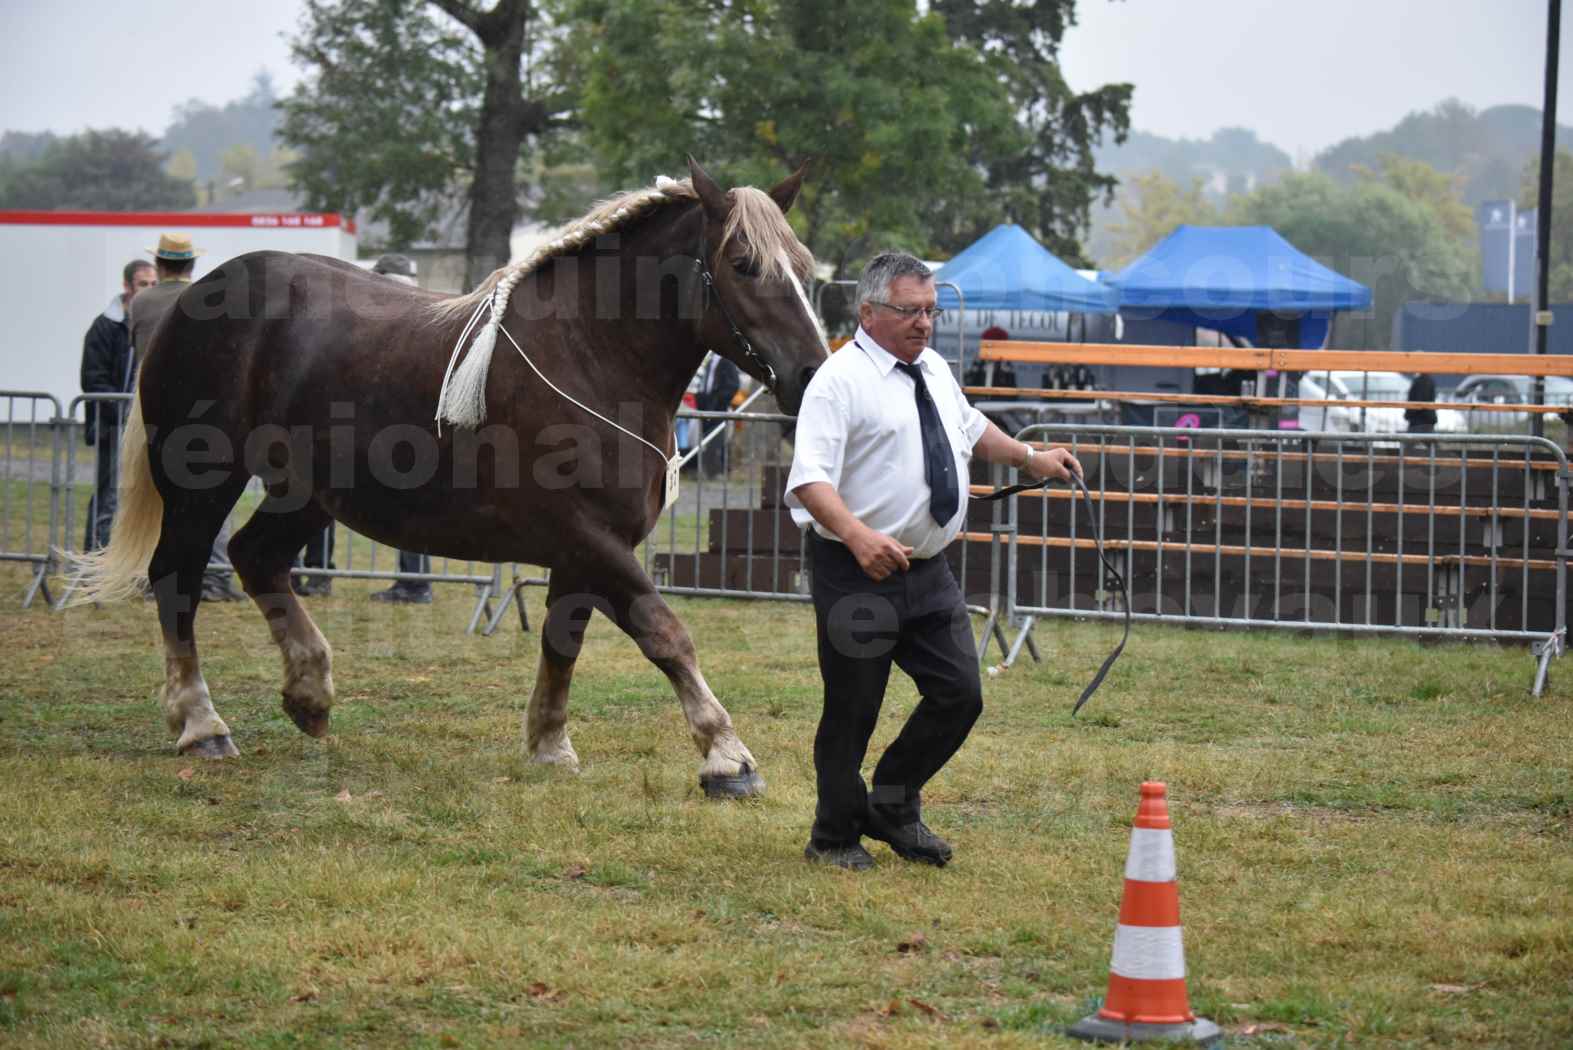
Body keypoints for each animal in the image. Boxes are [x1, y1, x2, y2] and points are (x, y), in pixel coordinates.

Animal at [70, 157, 836, 795]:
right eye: (743, 262)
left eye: (804, 266)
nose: (810, 374)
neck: (589, 354)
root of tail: (193, 296)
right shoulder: (588, 537)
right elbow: (665, 632)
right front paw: (727, 755)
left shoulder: (582, 549)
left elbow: (563, 638)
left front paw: (549, 746)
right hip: (204, 481)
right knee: (177, 576)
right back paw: (201, 724)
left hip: (309, 494)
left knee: (257, 558)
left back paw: (309, 693)